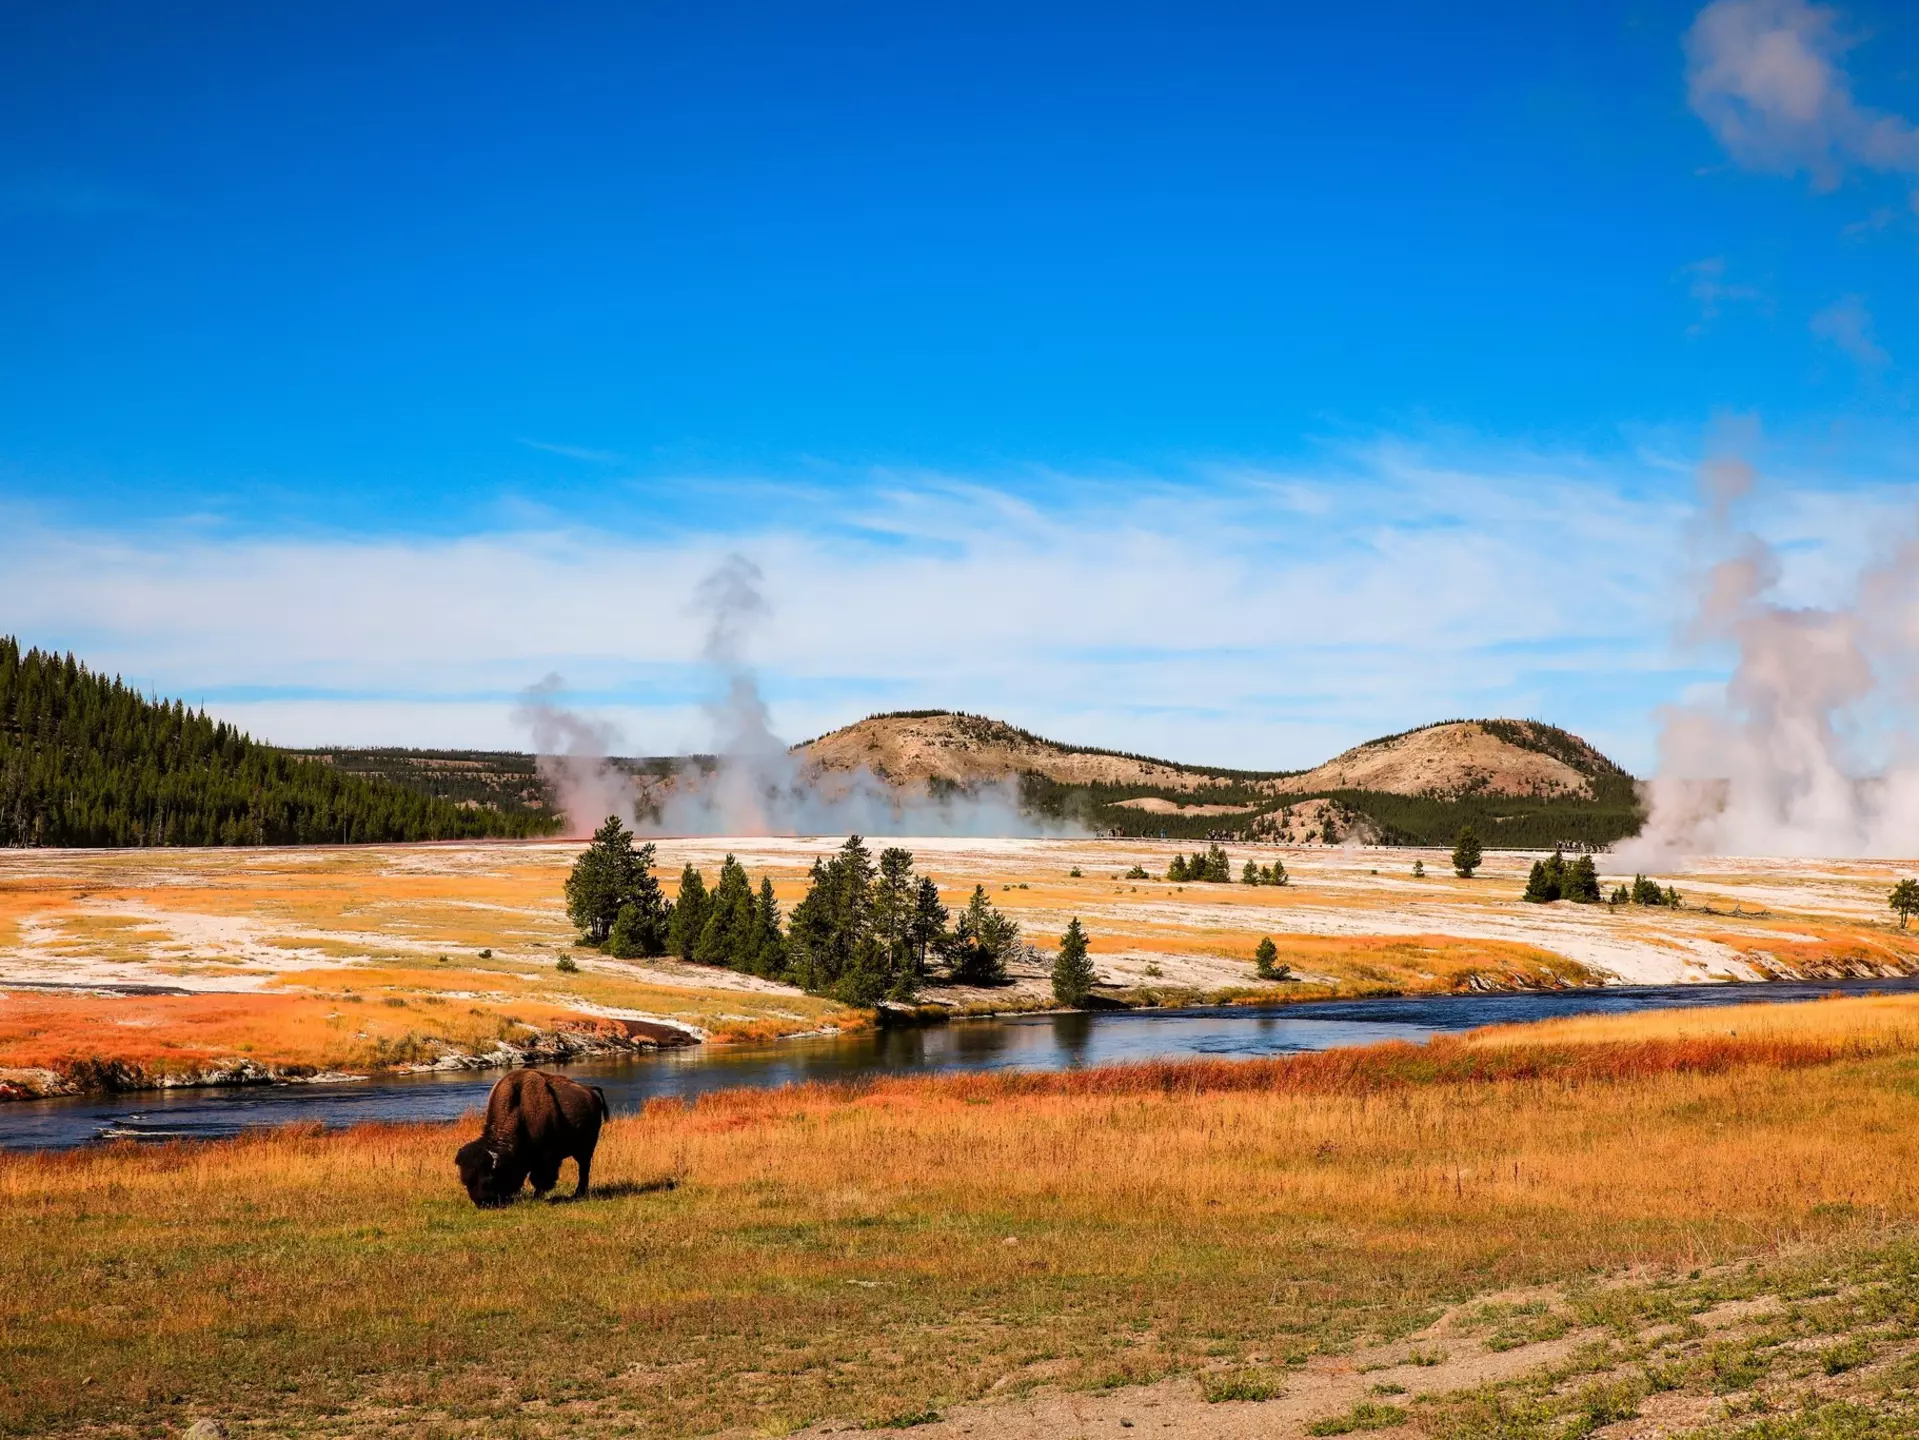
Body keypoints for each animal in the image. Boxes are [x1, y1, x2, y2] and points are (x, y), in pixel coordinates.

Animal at [456, 1068, 608, 1207]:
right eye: (465, 1180)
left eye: (488, 1179)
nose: (481, 1203)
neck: (519, 1111)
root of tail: (590, 1091)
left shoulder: (546, 1157)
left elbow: (541, 1179)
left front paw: (536, 1197)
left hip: (585, 1148)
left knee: (584, 1168)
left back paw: (578, 1194)